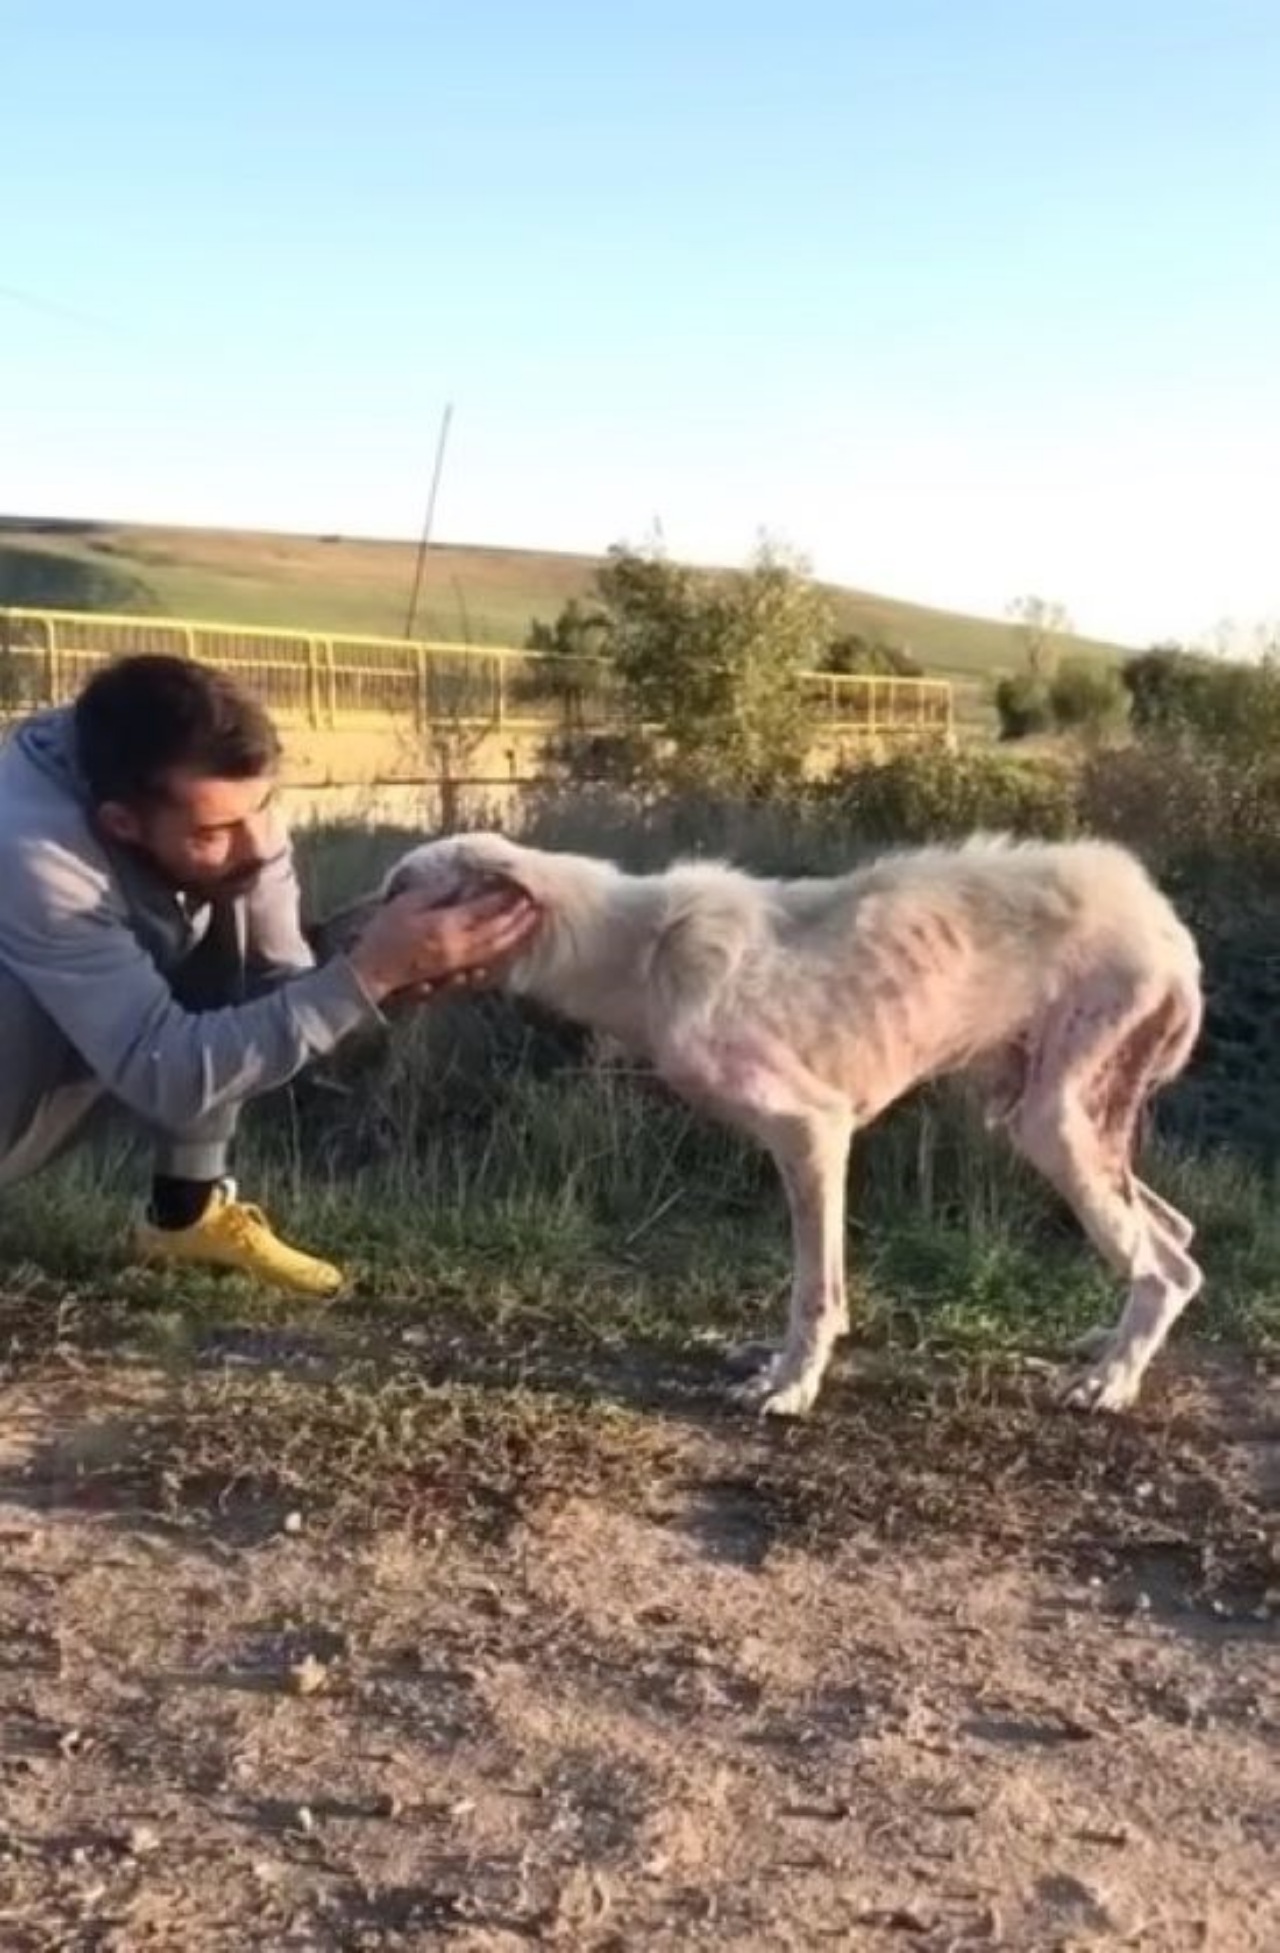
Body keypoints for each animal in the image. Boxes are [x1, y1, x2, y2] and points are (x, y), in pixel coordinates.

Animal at [365, 828, 1203, 1421]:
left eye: (399, 888)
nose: (339, 930)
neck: (640, 950)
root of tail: (1166, 925)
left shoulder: (813, 1133)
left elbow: (815, 1292)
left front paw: (792, 1388)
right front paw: (775, 1367)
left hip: (1056, 1125)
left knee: (1166, 1267)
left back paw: (1110, 1382)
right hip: (1045, 1119)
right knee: (1175, 1236)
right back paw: (1111, 1345)